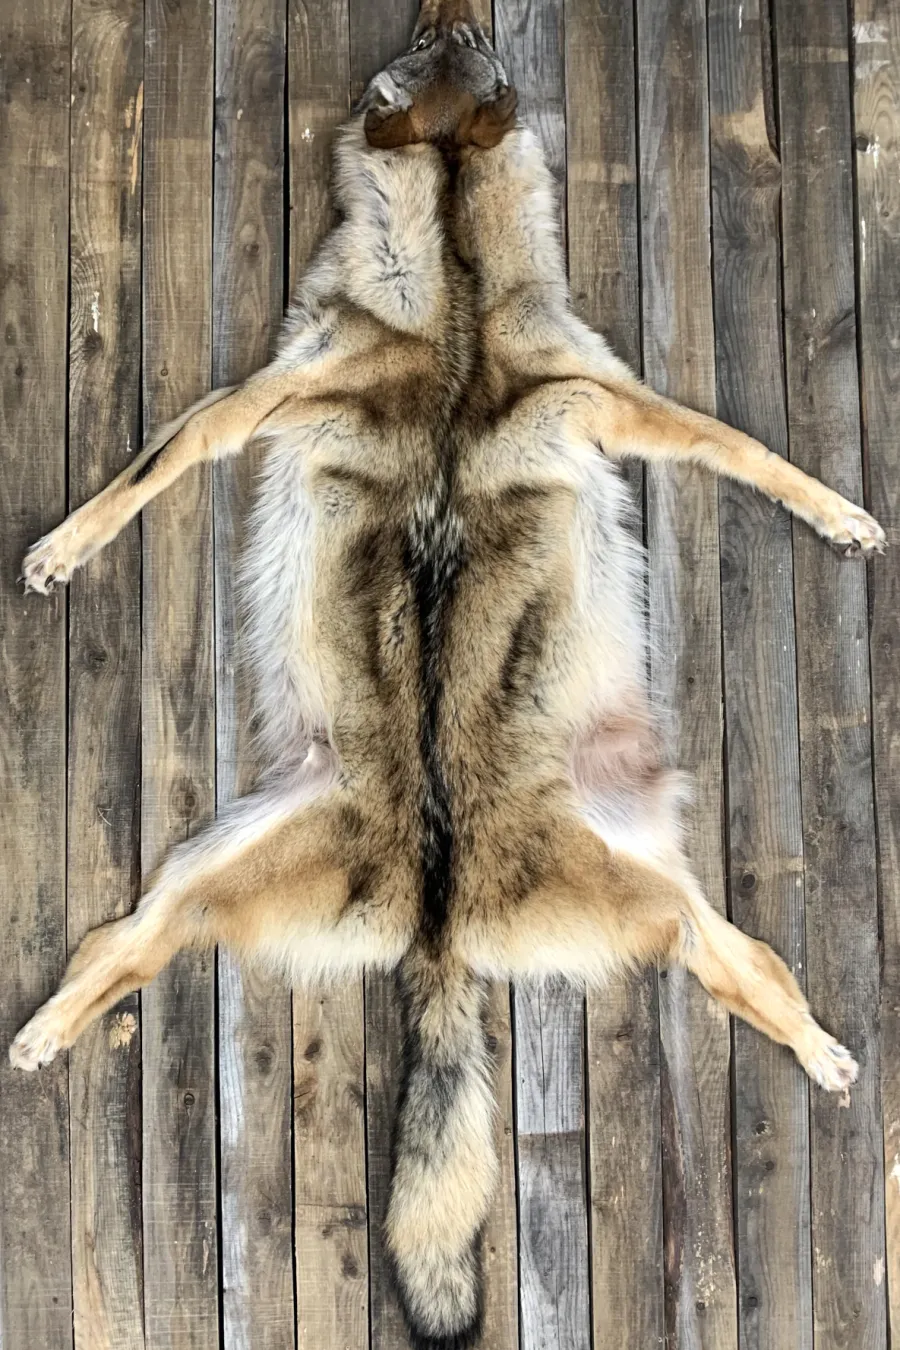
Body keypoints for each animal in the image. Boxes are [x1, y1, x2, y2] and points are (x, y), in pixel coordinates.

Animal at [9, 2, 885, 1346]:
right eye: (442, 48)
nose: (448, 5)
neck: (458, 272)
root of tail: (441, 918)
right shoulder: (259, 401)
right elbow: (141, 473)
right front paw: (63, 546)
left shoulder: (608, 402)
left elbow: (759, 454)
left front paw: (840, 513)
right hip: (196, 884)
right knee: (115, 956)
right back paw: (44, 1034)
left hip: (645, 906)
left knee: (753, 976)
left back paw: (828, 1052)